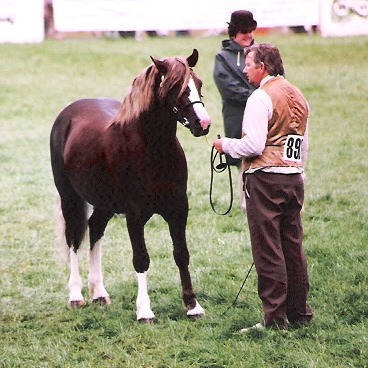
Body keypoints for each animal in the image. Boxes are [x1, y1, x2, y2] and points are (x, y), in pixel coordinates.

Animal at [50, 49, 210, 322]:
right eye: (174, 87)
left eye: (198, 84)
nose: (203, 123)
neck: (153, 151)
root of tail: (67, 115)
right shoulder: (135, 215)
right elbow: (141, 259)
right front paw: (144, 311)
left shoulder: (178, 209)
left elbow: (181, 254)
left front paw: (193, 305)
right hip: (69, 198)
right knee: (74, 238)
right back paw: (76, 296)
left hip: (104, 203)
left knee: (95, 230)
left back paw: (99, 293)